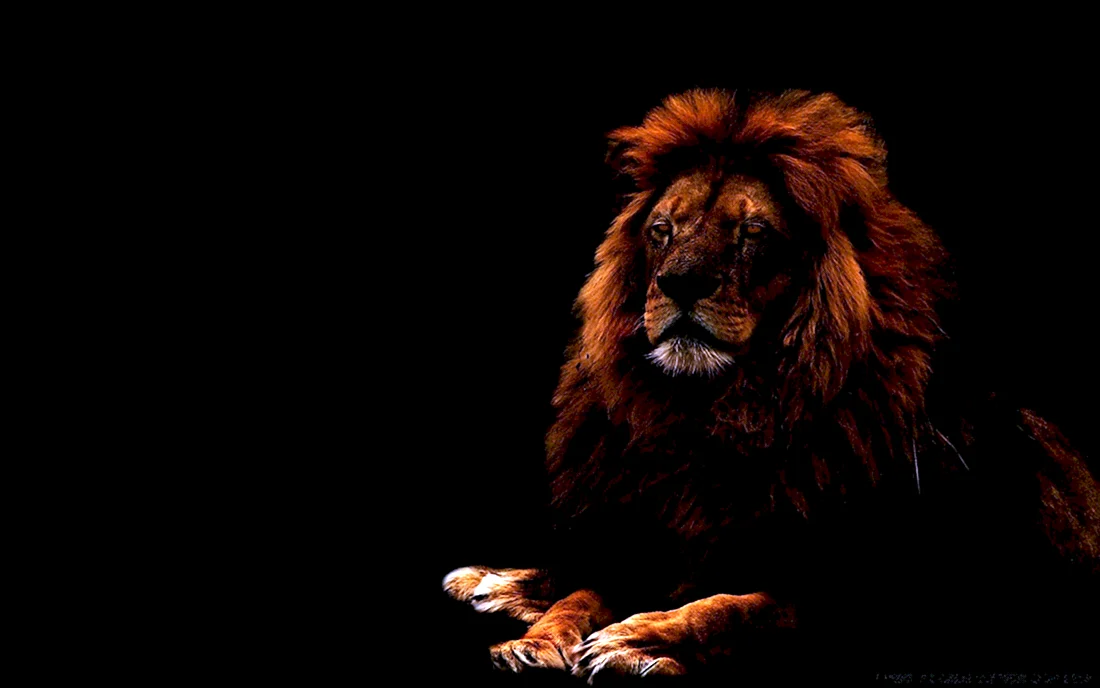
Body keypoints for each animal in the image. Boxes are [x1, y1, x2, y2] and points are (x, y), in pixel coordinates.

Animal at [443, 89, 1100, 682]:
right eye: (661, 230)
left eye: (753, 232)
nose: (680, 282)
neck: (718, 409)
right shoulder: (659, 537)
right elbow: (583, 591)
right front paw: (537, 640)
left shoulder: (861, 594)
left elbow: (735, 609)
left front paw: (635, 639)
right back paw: (488, 581)